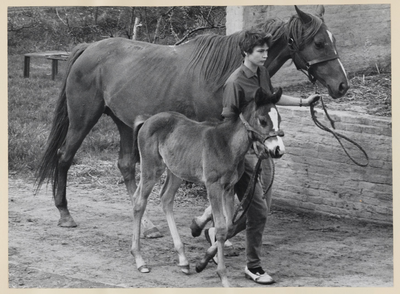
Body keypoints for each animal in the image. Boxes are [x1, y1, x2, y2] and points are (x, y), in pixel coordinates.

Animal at [131, 86, 284, 286]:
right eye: (263, 120)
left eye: (279, 119)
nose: (278, 150)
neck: (228, 145)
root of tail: (147, 120)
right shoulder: (213, 187)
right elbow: (220, 227)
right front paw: (223, 277)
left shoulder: (228, 188)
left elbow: (228, 226)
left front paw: (202, 262)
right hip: (152, 168)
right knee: (139, 203)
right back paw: (139, 260)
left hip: (176, 171)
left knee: (165, 199)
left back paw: (183, 260)